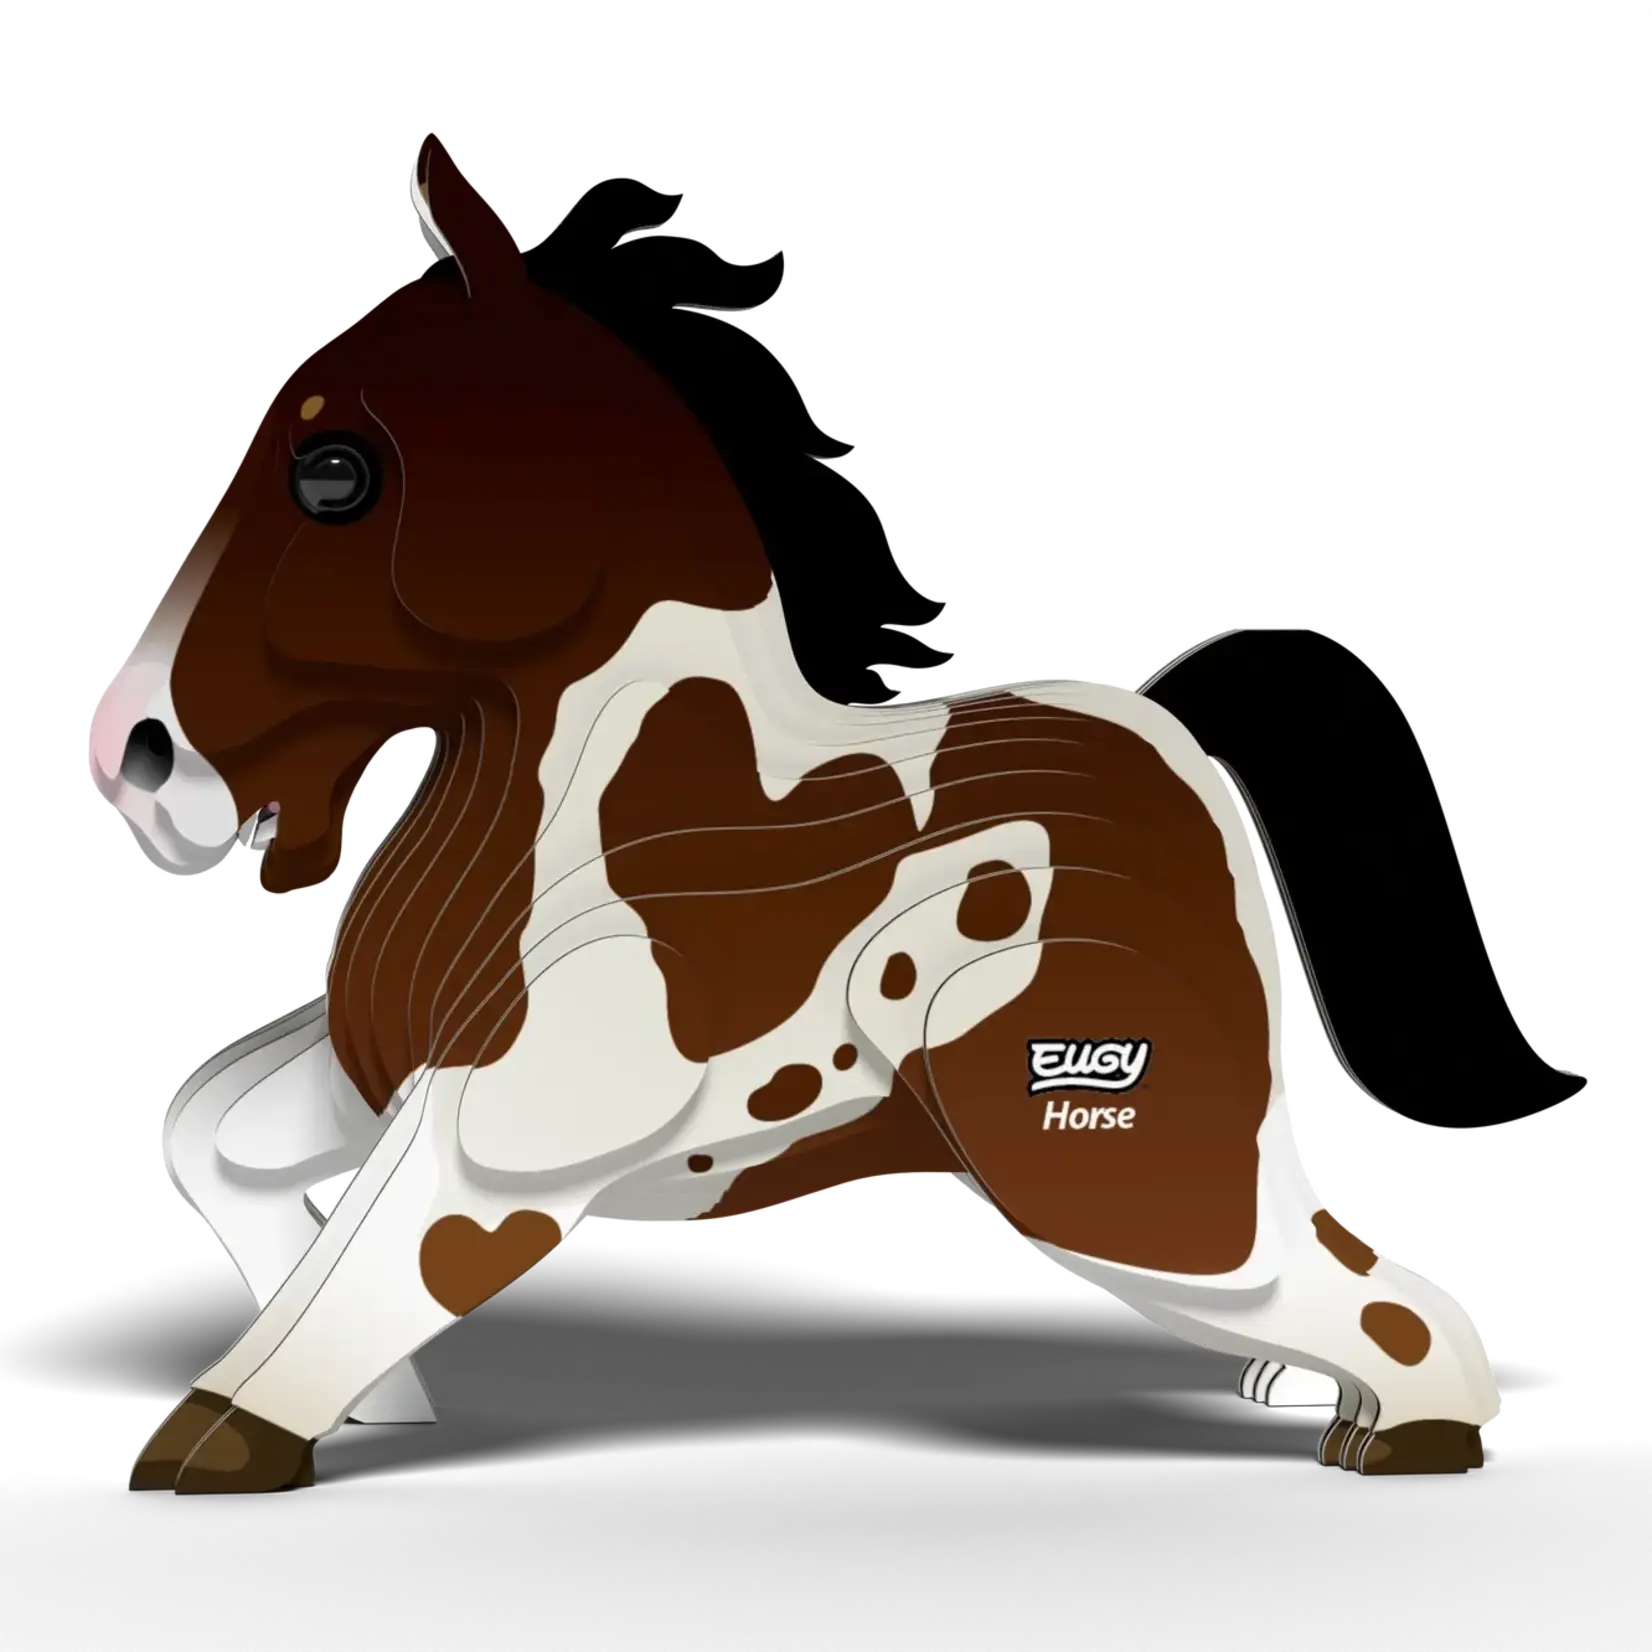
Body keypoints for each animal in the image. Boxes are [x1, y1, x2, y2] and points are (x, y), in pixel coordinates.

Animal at [88, 134, 1505, 1492]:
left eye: (334, 473)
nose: (134, 758)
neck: (572, 802)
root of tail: (1175, 743)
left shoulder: (504, 1142)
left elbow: (362, 1271)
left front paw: (232, 1427)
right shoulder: (380, 1068)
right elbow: (204, 1131)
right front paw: (392, 1402)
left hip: (1121, 1187)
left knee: (1390, 1307)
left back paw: (1400, 1424)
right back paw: (1311, 1391)